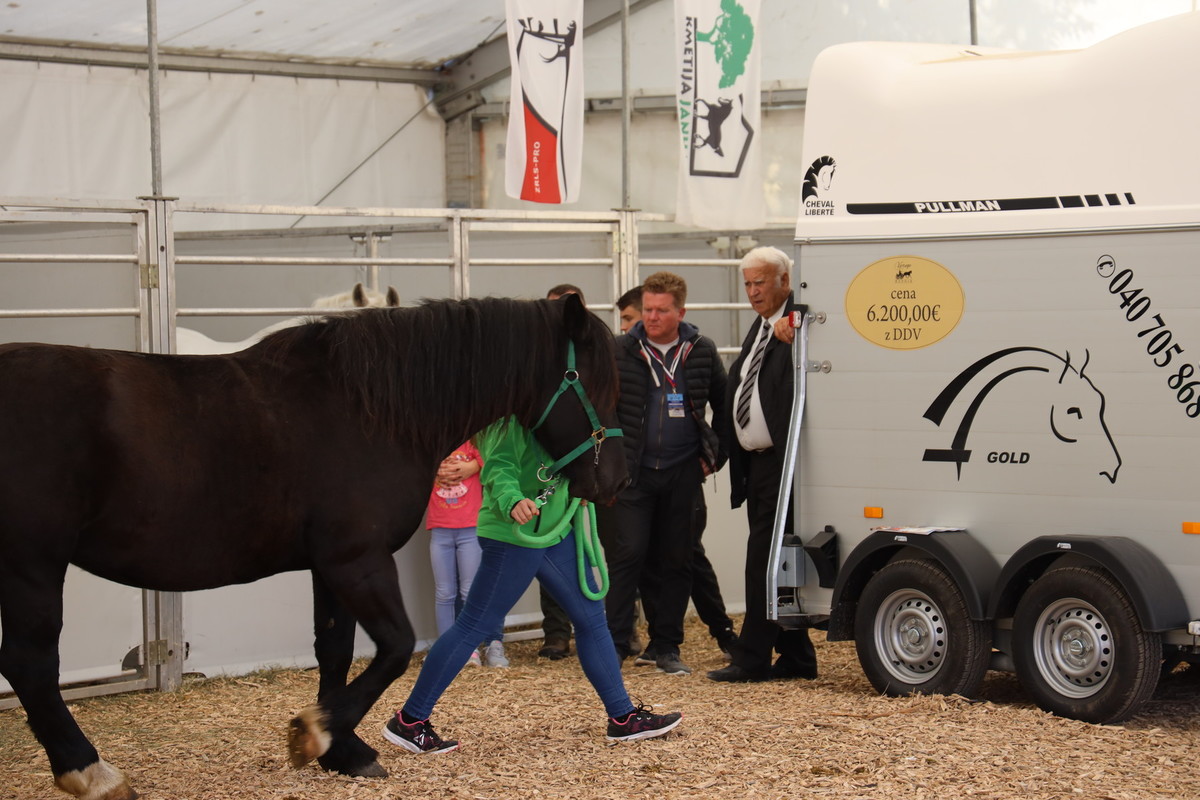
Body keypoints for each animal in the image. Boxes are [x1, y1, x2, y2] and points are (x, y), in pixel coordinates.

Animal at [0, 293, 633, 800]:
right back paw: (92, 772)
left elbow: (335, 650)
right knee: (32, 667)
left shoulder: (329, 567)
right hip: (31, 565)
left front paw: (343, 751)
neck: (371, 410)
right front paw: (316, 734)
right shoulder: (357, 560)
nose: (614, 483)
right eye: (596, 381)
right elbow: (396, 647)